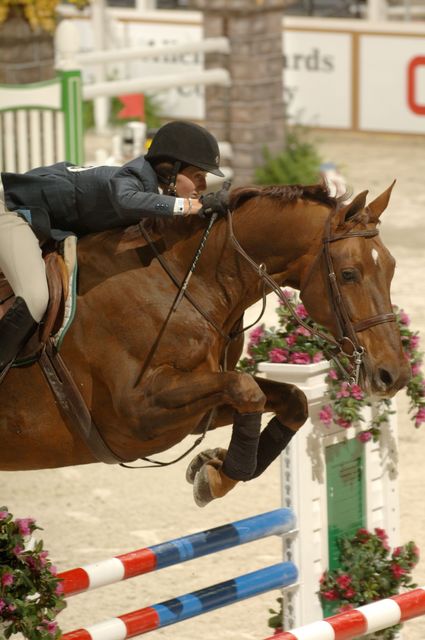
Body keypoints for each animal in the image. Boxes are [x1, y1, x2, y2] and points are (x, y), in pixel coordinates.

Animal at [0, 180, 410, 504]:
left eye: (391, 268)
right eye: (349, 274)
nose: (395, 375)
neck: (185, 281)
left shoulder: (199, 408)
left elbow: (289, 400)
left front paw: (210, 468)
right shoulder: (136, 415)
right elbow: (248, 390)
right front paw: (214, 475)